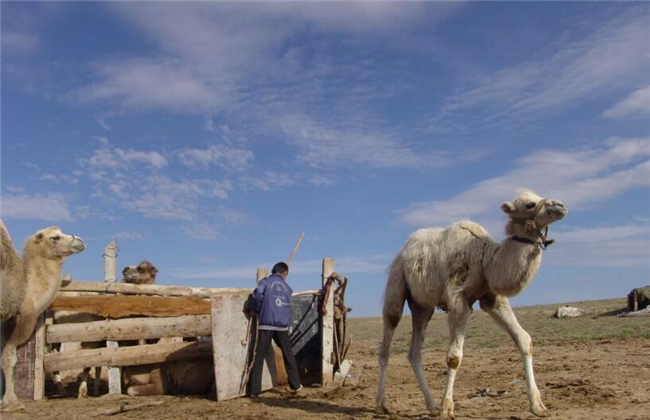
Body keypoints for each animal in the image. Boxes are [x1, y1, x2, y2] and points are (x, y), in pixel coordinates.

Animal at [374, 192, 568, 418]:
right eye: (529, 204)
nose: (560, 205)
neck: (486, 260)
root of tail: (402, 251)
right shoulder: (458, 299)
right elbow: (454, 357)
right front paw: (448, 408)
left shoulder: (493, 299)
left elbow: (524, 339)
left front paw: (538, 406)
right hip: (397, 282)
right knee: (387, 338)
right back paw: (382, 404)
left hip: (422, 306)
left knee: (414, 352)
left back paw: (432, 406)